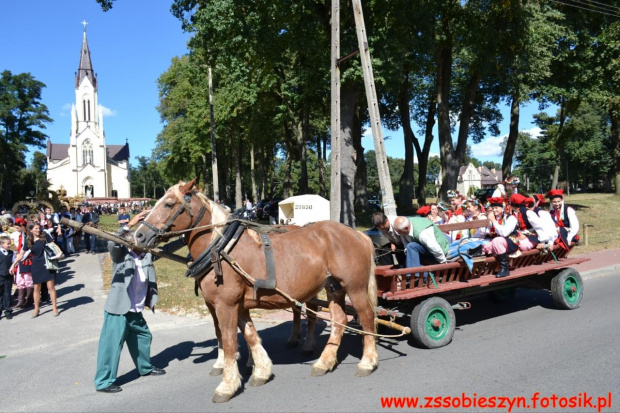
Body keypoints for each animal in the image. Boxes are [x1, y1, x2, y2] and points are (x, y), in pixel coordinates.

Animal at [135, 178, 378, 402]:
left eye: (168, 204)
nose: (138, 235)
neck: (221, 249)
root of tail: (358, 234)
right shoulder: (238, 305)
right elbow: (250, 336)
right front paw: (261, 370)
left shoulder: (225, 305)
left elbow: (229, 342)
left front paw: (227, 385)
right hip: (333, 287)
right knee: (339, 320)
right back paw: (324, 362)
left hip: (354, 288)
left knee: (366, 317)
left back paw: (367, 362)